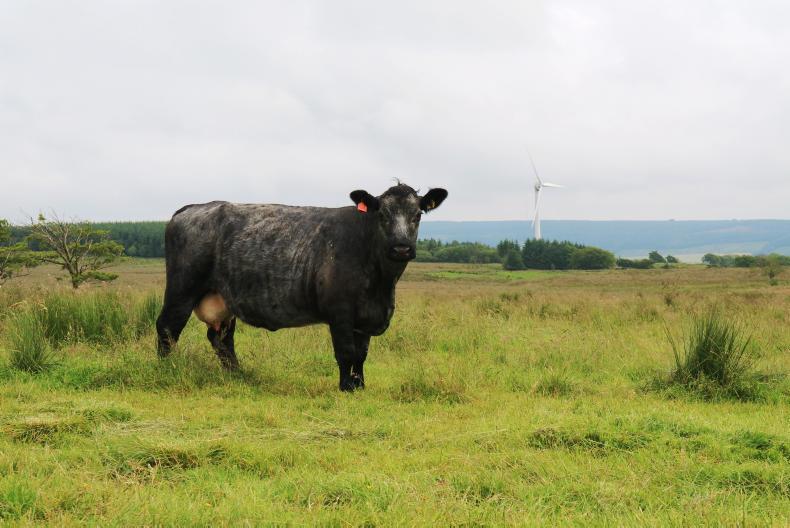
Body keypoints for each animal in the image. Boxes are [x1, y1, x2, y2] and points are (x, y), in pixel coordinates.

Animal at [155, 184, 448, 391]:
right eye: (383, 214)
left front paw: (360, 386)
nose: (401, 247)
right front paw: (346, 387)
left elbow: (361, 355)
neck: (381, 284)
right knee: (168, 328)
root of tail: (193, 208)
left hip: (223, 300)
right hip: (182, 290)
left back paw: (238, 375)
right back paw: (165, 369)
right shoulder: (340, 313)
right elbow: (346, 352)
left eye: (418, 214)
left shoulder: (365, 317)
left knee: (222, 339)